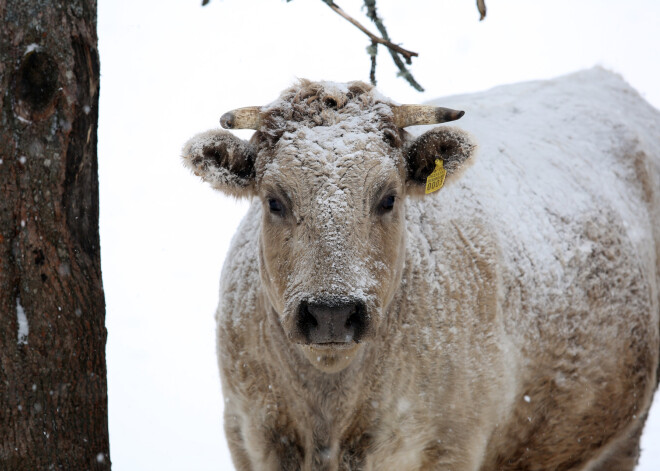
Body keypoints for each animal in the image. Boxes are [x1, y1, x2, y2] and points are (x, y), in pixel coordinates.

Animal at [183, 67, 660, 471]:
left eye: (388, 198)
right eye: (274, 200)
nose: (331, 312)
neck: (330, 414)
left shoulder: (451, 444)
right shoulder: (248, 435)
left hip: (622, 434)